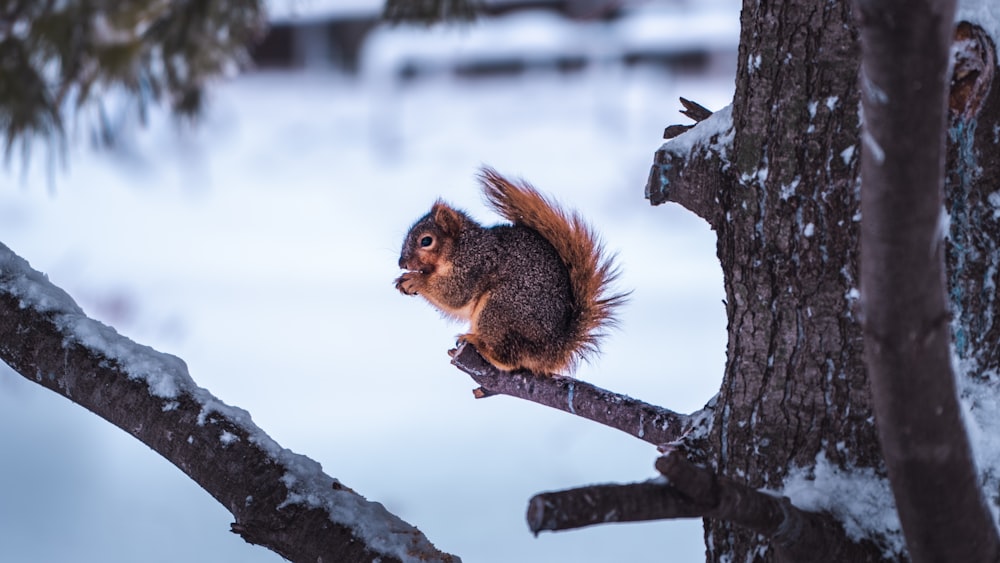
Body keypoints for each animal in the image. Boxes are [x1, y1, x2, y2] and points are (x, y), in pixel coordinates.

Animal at [392, 170, 620, 376]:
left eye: (426, 241)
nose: (402, 263)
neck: (463, 247)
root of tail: (553, 350)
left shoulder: (474, 266)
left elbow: (455, 294)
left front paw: (415, 280)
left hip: (498, 309)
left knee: (509, 360)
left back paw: (479, 344)